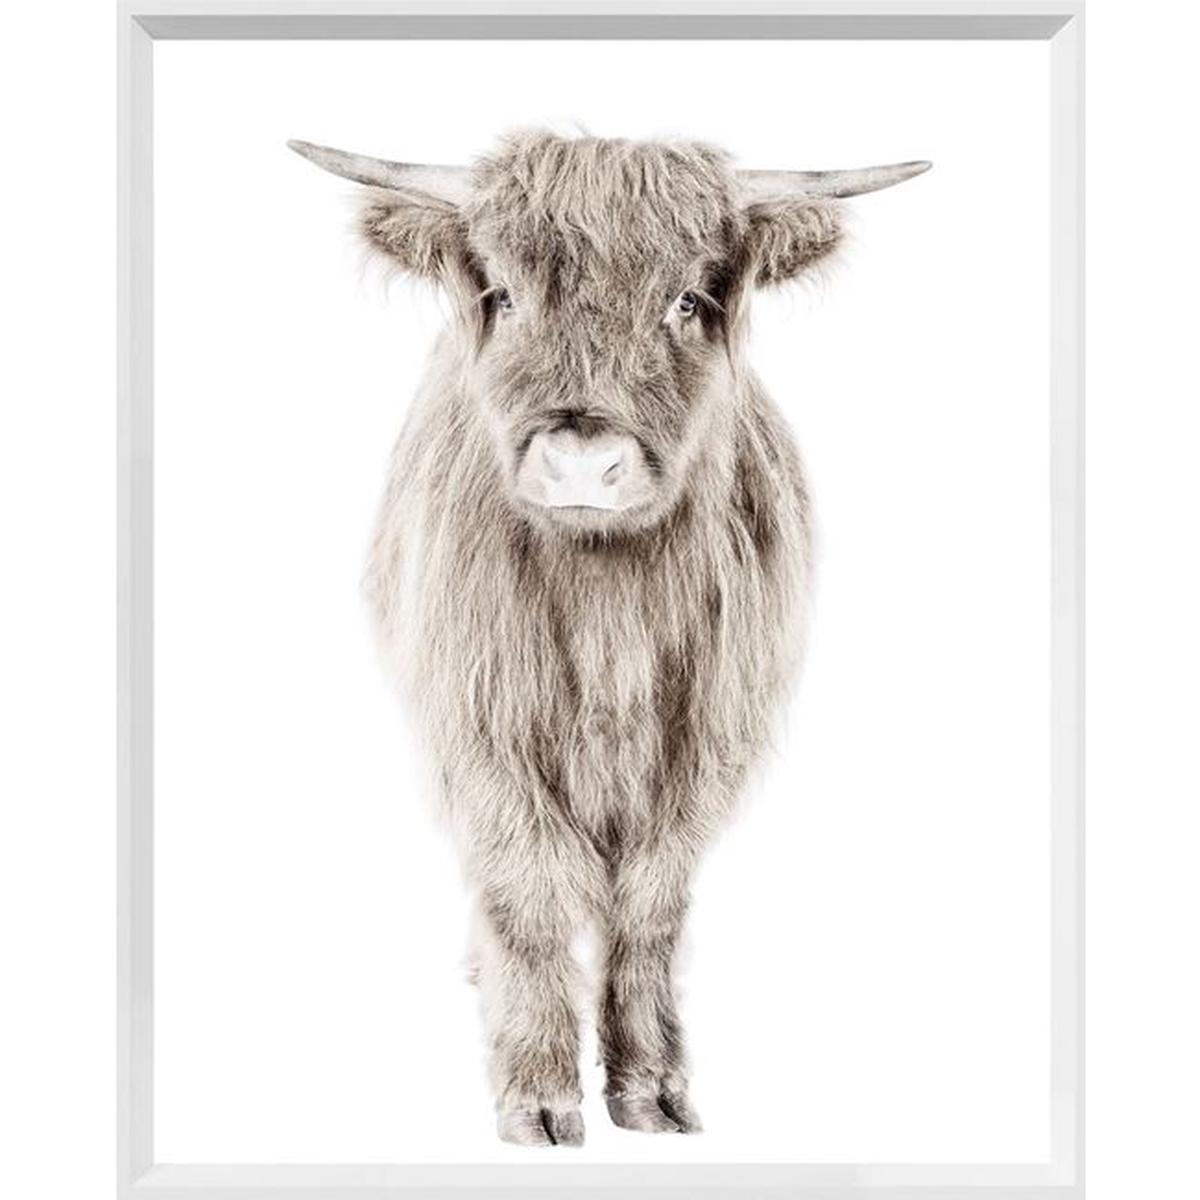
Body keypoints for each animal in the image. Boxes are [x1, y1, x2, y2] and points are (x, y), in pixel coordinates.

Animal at [290, 130, 929, 1147]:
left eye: (688, 300)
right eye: (504, 293)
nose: (583, 462)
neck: (607, 607)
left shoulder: (706, 744)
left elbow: (651, 907)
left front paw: (653, 1089)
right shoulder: (482, 729)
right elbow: (528, 891)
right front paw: (538, 1094)